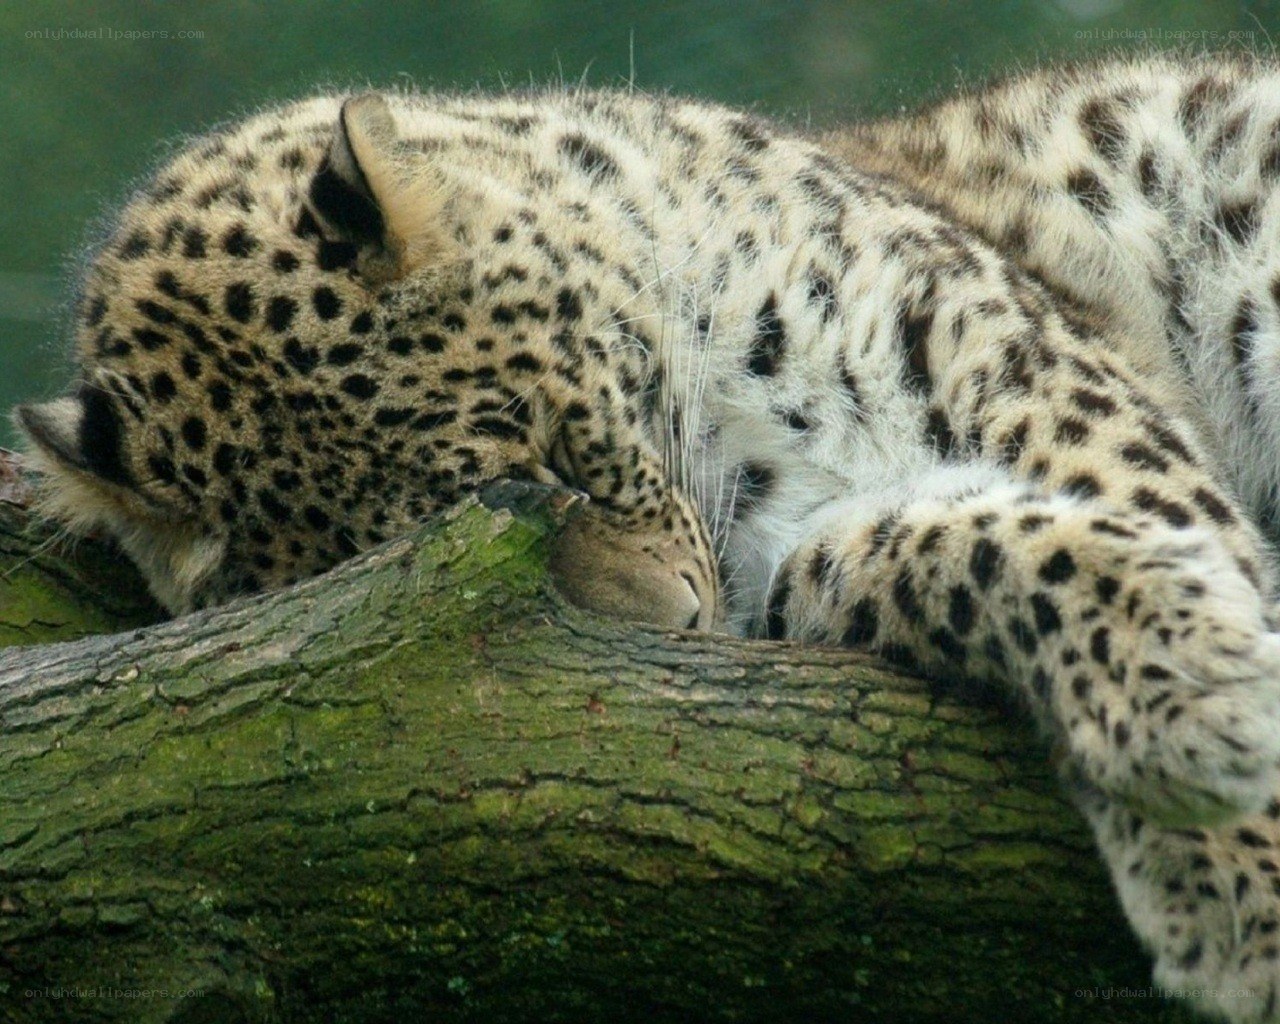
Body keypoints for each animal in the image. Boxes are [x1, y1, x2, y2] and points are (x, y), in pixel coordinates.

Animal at [15, 49, 1280, 1022]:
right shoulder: (797, 579)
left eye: (559, 454)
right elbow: (949, 550)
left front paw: (1238, 848)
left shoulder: (1027, 378)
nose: (678, 627)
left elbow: (1148, 517)